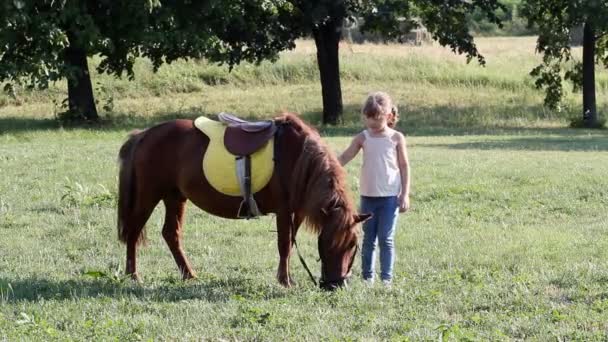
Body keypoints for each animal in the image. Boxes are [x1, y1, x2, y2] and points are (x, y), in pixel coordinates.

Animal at [116, 113, 368, 290]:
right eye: (327, 242)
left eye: (353, 246)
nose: (336, 285)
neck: (298, 157)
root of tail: (144, 135)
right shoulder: (284, 210)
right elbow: (285, 244)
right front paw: (285, 281)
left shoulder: (296, 212)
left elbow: (289, 243)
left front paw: (287, 278)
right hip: (148, 196)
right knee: (133, 232)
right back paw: (134, 276)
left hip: (175, 197)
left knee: (171, 234)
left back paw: (189, 274)